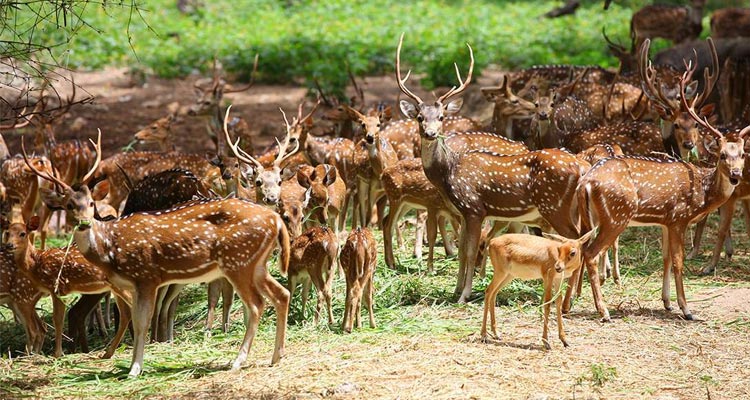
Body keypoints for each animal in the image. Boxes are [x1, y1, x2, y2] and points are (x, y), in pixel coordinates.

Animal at [5, 217, 132, 359]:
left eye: (23, 233)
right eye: (7, 233)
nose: (9, 245)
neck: (37, 262)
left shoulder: (57, 287)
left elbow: (58, 319)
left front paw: (57, 354)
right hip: (116, 287)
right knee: (126, 314)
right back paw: (108, 353)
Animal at [25, 131, 291, 377]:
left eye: (91, 203)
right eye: (69, 205)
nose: (83, 223)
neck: (110, 247)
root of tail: (276, 220)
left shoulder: (146, 276)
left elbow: (142, 321)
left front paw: (134, 369)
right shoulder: (133, 284)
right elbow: (135, 319)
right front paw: (133, 363)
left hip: (238, 262)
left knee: (257, 304)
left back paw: (237, 361)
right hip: (256, 264)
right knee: (282, 294)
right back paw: (276, 356)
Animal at [395, 34, 609, 320]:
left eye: (441, 117)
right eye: (420, 117)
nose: (430, 133)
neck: (449, 173)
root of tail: (583, 167)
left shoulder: (474, 208)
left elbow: (470, 251)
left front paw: (464, 295)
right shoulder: (463, 211)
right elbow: (461, 251)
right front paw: (455, 290)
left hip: (555, 205)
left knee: (579, 243)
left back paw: (577, 304)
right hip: (572, 208)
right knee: (584, 240)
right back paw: (575, 298)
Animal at [571, 66, 748, 320]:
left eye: (742, 154)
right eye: (722, 155)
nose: (735, 174)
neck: (703, 192)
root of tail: (586, 181)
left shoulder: (665, 222)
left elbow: (665, 259)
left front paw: (667, 302)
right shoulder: (678, 219)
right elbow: (678, 261)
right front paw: (686, 309)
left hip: (590, 217)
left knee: (580, 247)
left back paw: (571, 303)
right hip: (616, 215)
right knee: (591, 253)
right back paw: (603, 310)